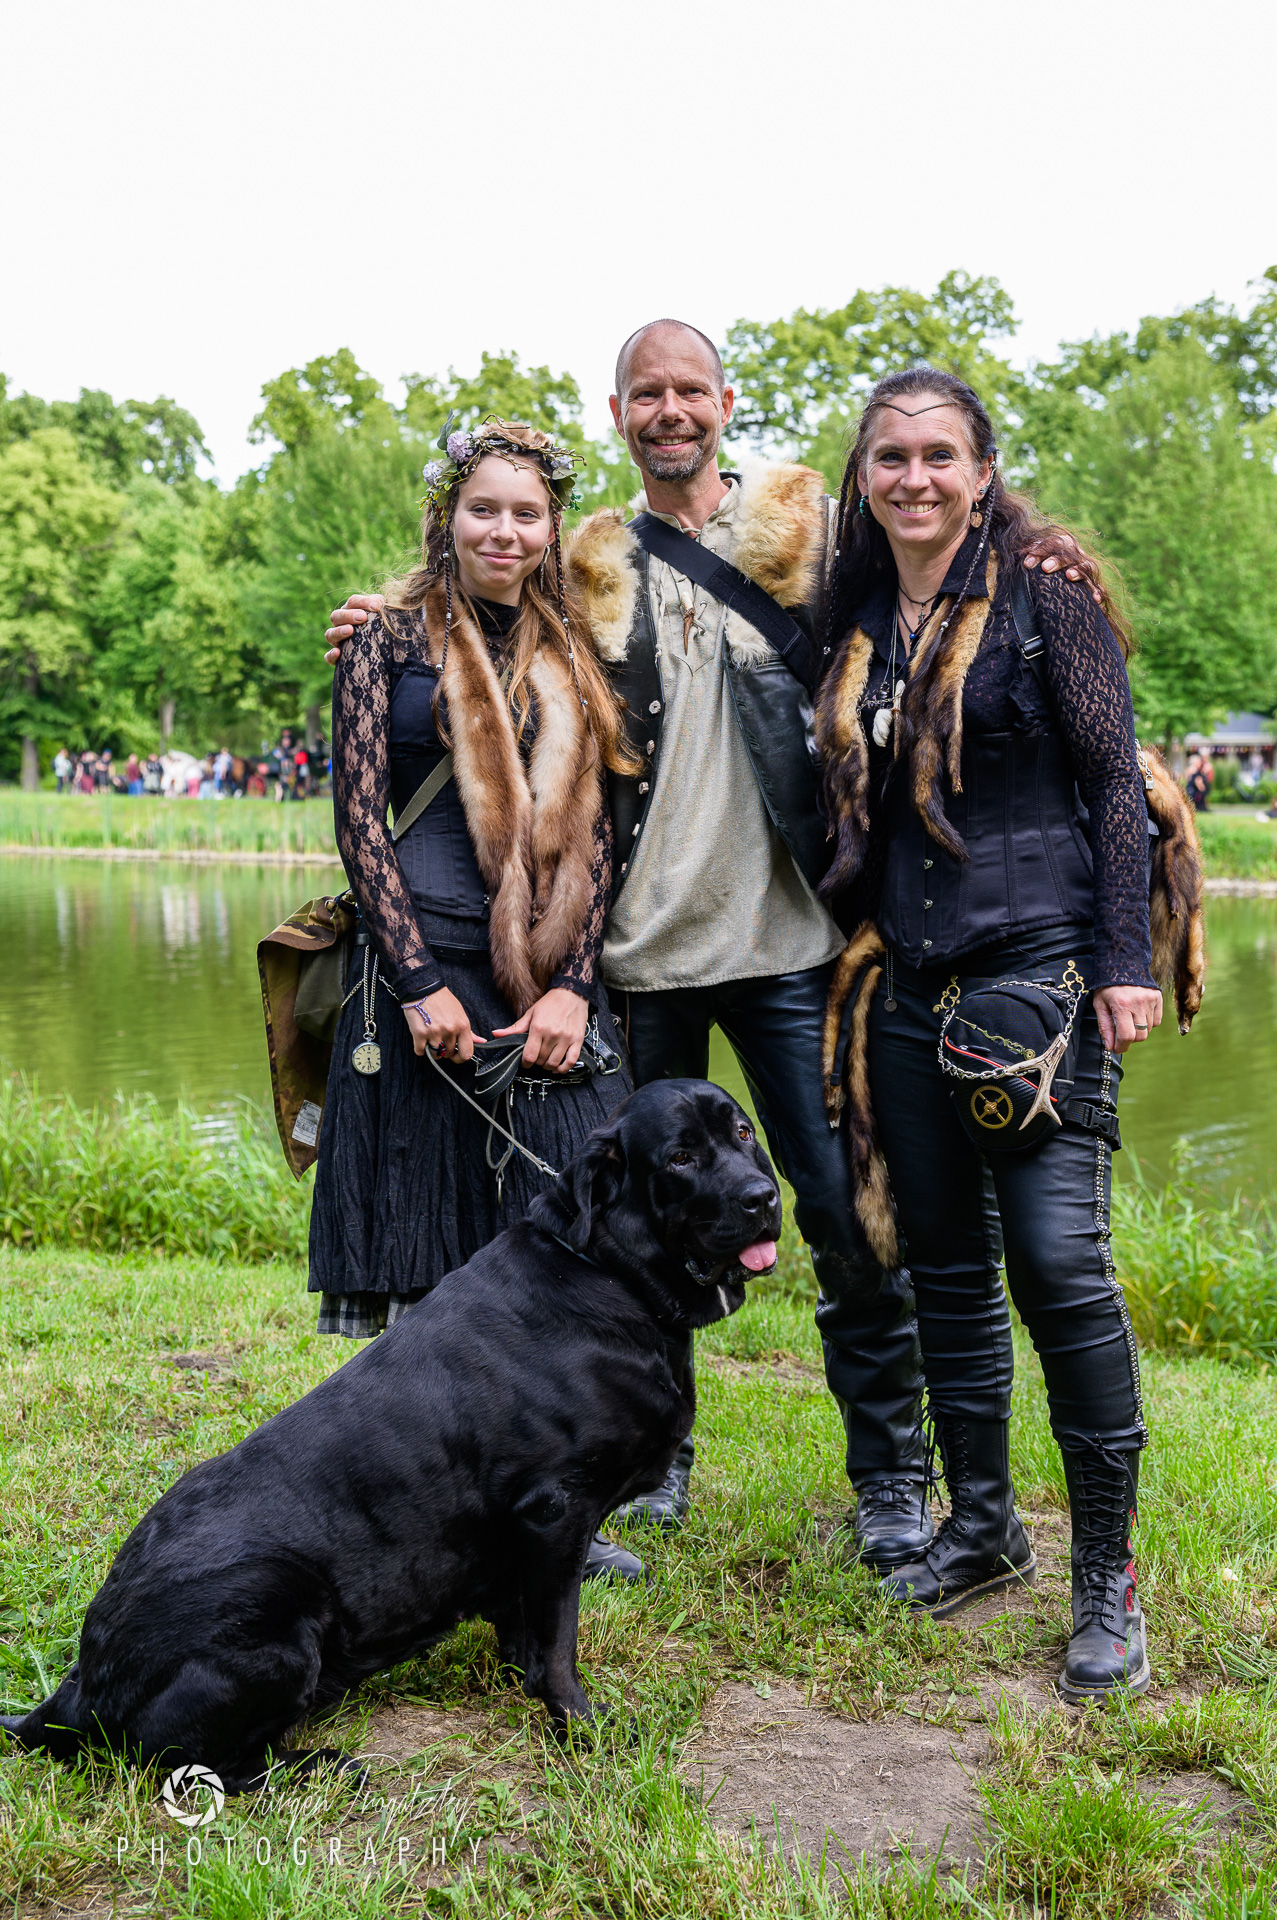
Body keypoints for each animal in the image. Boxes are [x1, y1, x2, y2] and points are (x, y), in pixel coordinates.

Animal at [1, 1080, 781, 1787]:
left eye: (743, 1133)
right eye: (679, 1157)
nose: (763, 1198)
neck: (607, 1272)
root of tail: (78, 1690)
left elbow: (525, 1632)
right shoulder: (555, 1512)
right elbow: (558, 1644)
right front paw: (583, 1729)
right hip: (278, 1608)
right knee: (195, 1764)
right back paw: (320, 1767)